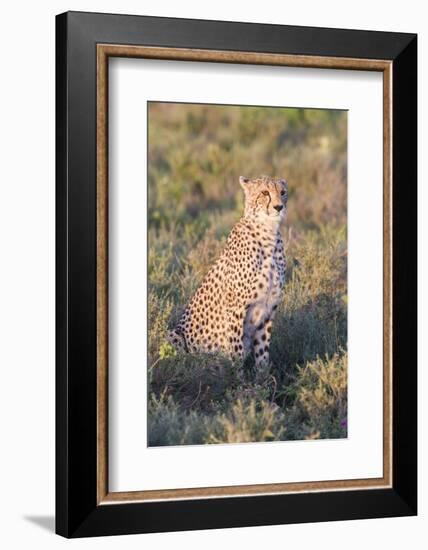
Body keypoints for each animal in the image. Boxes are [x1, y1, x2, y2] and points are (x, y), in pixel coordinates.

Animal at [168, 177, 288, 366]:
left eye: (282, 192)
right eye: (264, 192)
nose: (279, 207)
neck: (268, 233)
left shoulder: (269, 308)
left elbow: (262, 354)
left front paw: (263, 375)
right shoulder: (235, 309)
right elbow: (236, 352)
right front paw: (236, 374)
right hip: (174, 334)